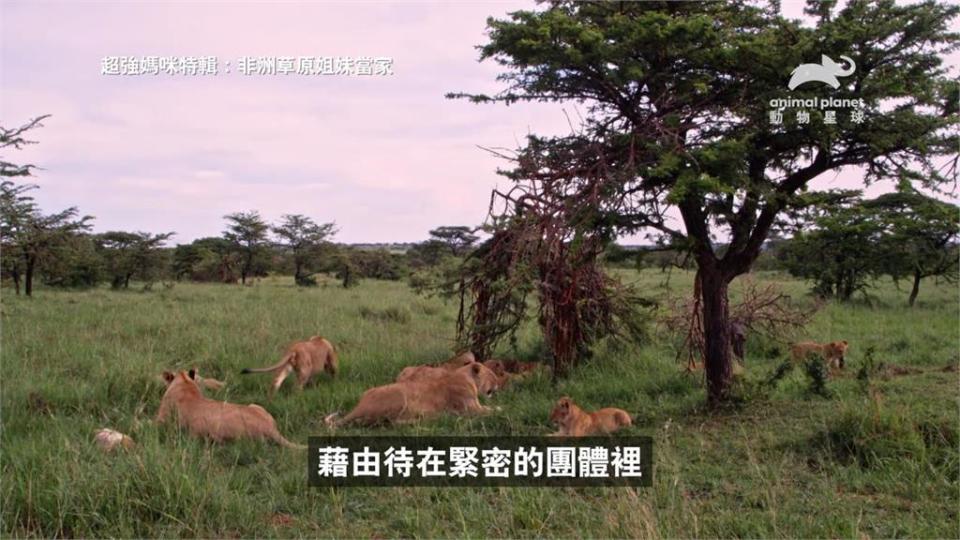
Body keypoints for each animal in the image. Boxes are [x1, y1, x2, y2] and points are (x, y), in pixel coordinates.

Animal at [326, 362, 498, 426]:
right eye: (491, 374)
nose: (498, 383)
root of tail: (359, 407)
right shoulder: (471, 409)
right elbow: (492, 411)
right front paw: (499, 410)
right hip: (400, 395)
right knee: (391, 421)